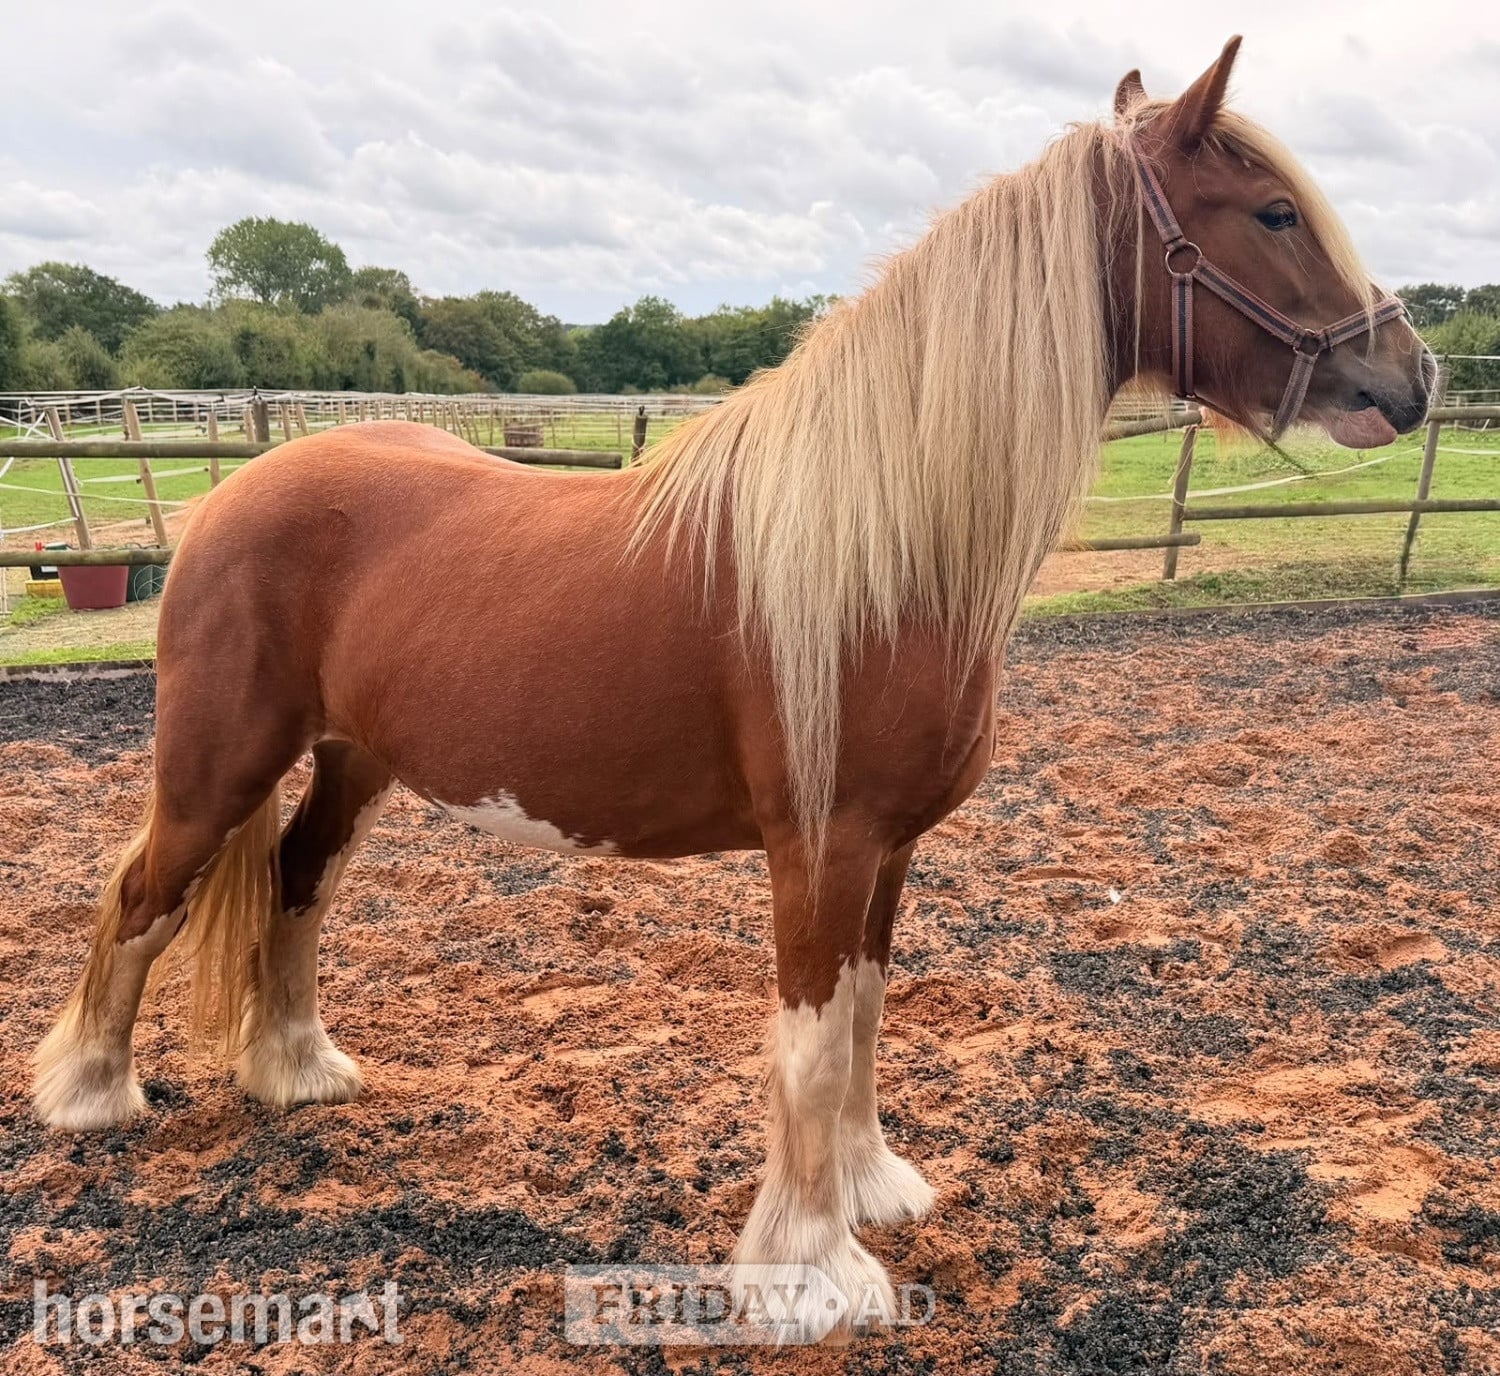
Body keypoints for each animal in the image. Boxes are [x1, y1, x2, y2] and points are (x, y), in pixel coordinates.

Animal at [35, 37, 1431, 1340]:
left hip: (353, 760)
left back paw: (300, 1070)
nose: (1414, 379)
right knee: (144, 895)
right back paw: (93, 1092)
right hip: (217, 763)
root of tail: (233, 493)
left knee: (296, 881)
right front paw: (811, 1272)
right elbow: (809, 1044)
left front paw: (872, 1189)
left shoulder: (891, 848)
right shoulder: (823, 842)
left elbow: (865, 1014)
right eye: (1275, 213)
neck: (887, 544)